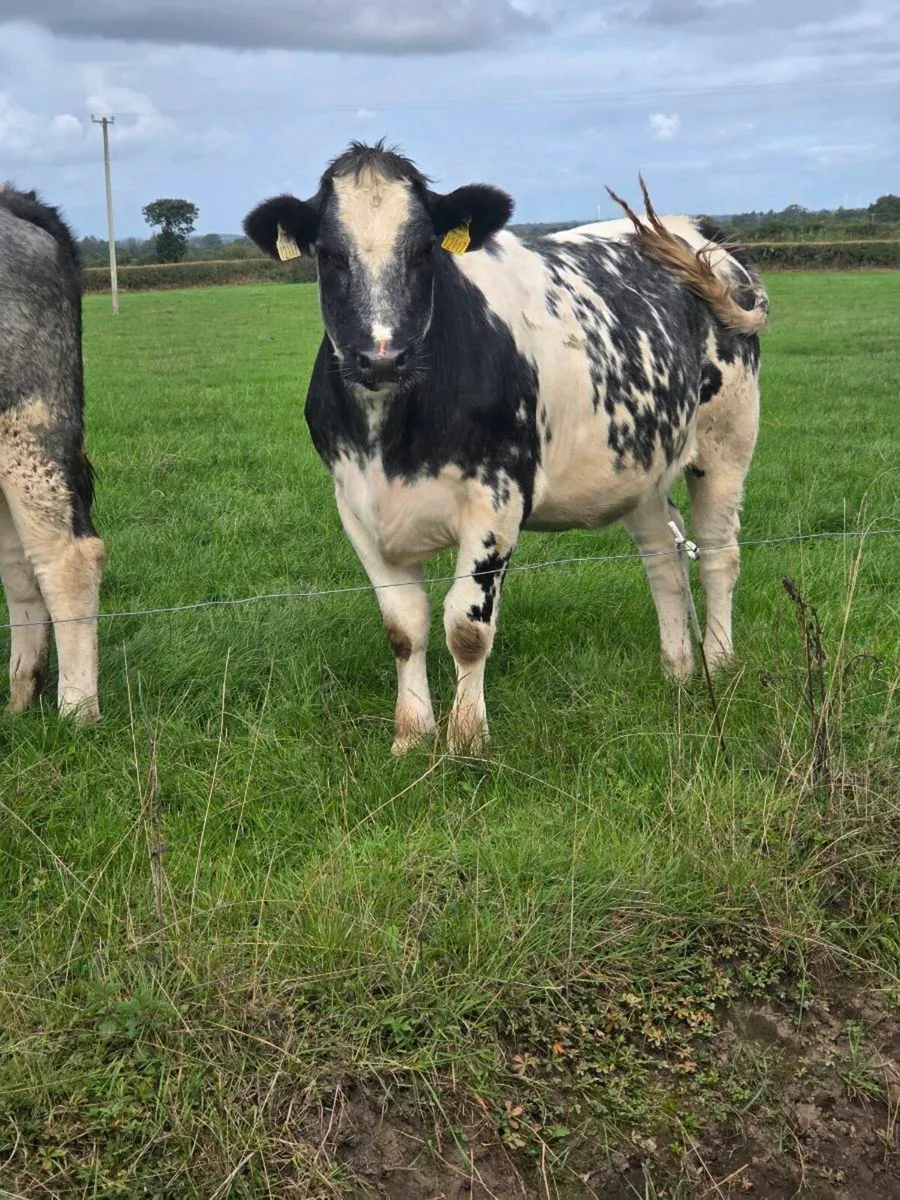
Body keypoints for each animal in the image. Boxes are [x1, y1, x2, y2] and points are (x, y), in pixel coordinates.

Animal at [243, 141, 766, 755]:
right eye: (327, 254)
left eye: (425, 250)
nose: (381, 357)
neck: (389, 438)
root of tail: (699, 233)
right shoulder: (355, 502)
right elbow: (403, 627)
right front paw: (411, 735)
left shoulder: (497, 496)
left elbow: (466, 627)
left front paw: (467, 739)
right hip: (640, 460)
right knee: (663, 557)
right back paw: (678, 668)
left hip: (726, 443)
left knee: (718, 552)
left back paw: (719, 659)